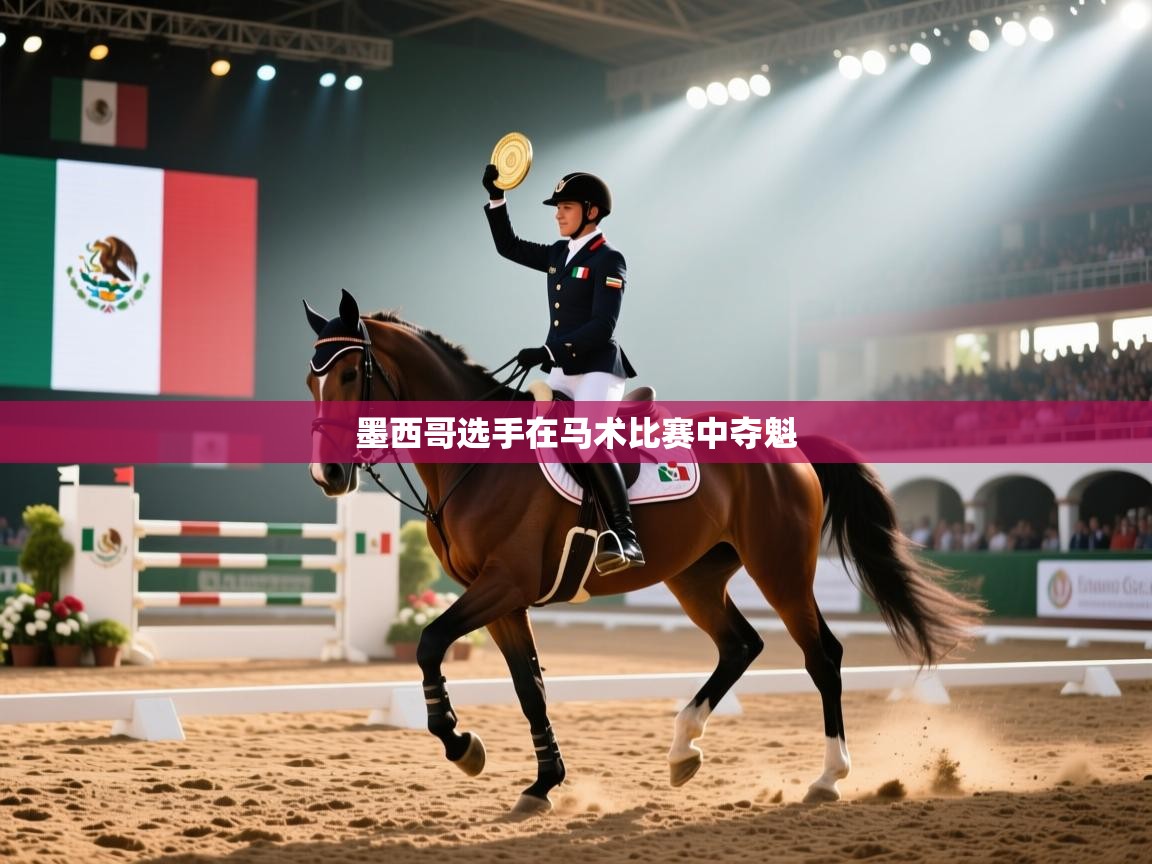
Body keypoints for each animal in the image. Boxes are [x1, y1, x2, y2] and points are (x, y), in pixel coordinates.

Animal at [305, 289, 983, 815]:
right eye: (310, 379)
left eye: (348, 375)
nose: (329, 475)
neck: (478, 459)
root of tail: (787, 446)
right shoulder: (502, 598)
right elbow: (529, 685)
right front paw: (541, 783)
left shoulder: (504, 584)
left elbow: (428, 642)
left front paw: (460, 743)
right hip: (696, 577)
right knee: (741, 645)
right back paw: (684, 750)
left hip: (781, 570)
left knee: (823, 656)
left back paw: (828, 777)